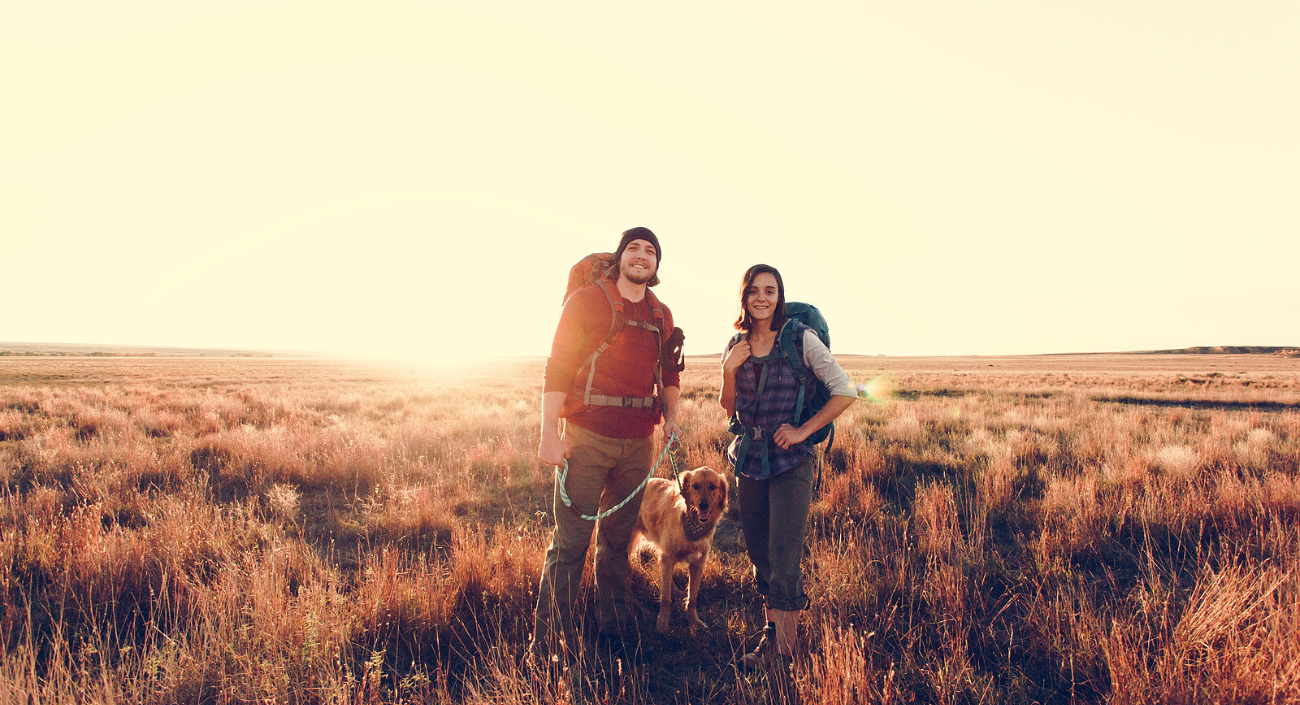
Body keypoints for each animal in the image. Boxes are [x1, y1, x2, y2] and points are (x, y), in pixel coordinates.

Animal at [626, 468, 728, 632]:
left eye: (713, 487)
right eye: (695, 486)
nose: (703, 505)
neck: (692, 523)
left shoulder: (698, 564)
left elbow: (692, 598)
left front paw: (694, 622)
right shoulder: (668, 557)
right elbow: (666, 598)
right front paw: (662, 624)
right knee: (627, 568)